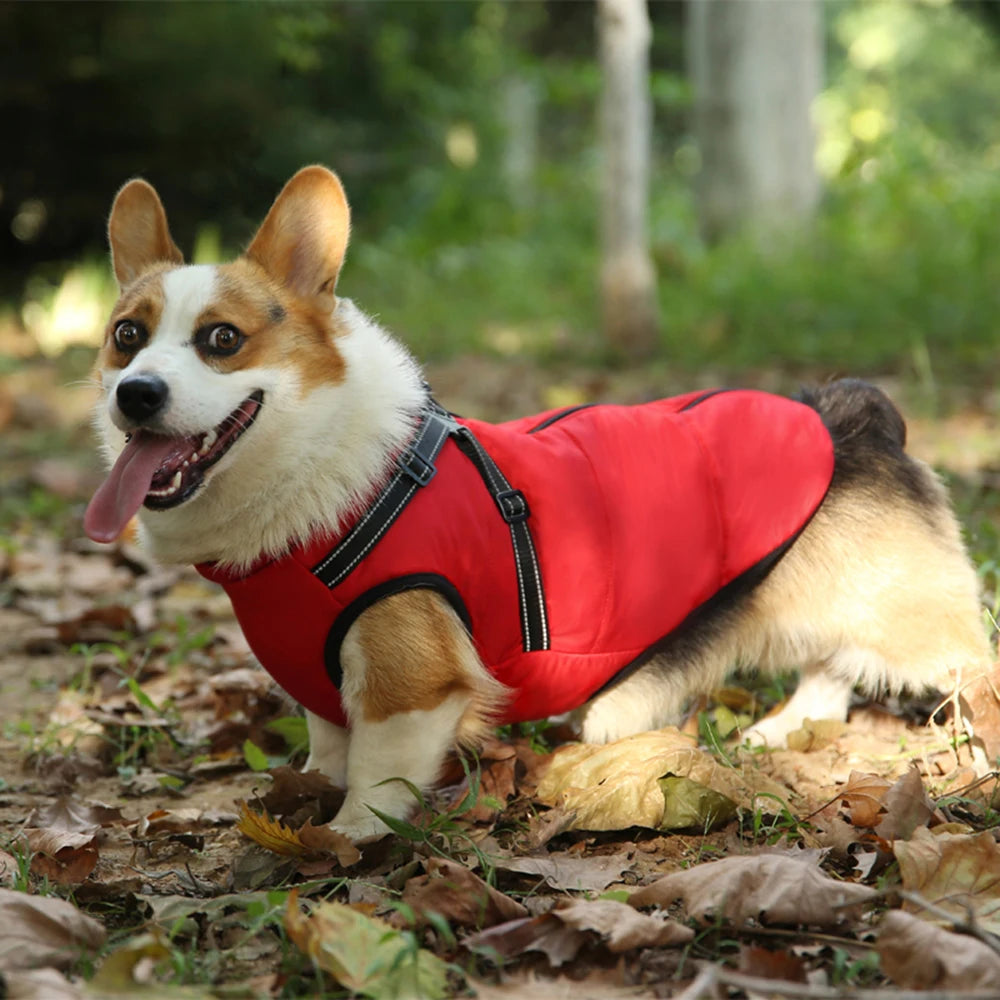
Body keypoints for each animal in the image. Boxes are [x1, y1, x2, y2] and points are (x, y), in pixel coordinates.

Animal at [86, 168, 992, 840]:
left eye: (223, 340)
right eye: (126, 336)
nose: (135, 395)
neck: (321, 474)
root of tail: (848, 412)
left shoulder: (412, 687)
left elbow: (375, 782)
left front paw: (342, 843)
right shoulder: (327, 691)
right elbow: (327, 753)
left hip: (910, 620)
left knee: (960, 666)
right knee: (829, 670)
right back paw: (778, 732)